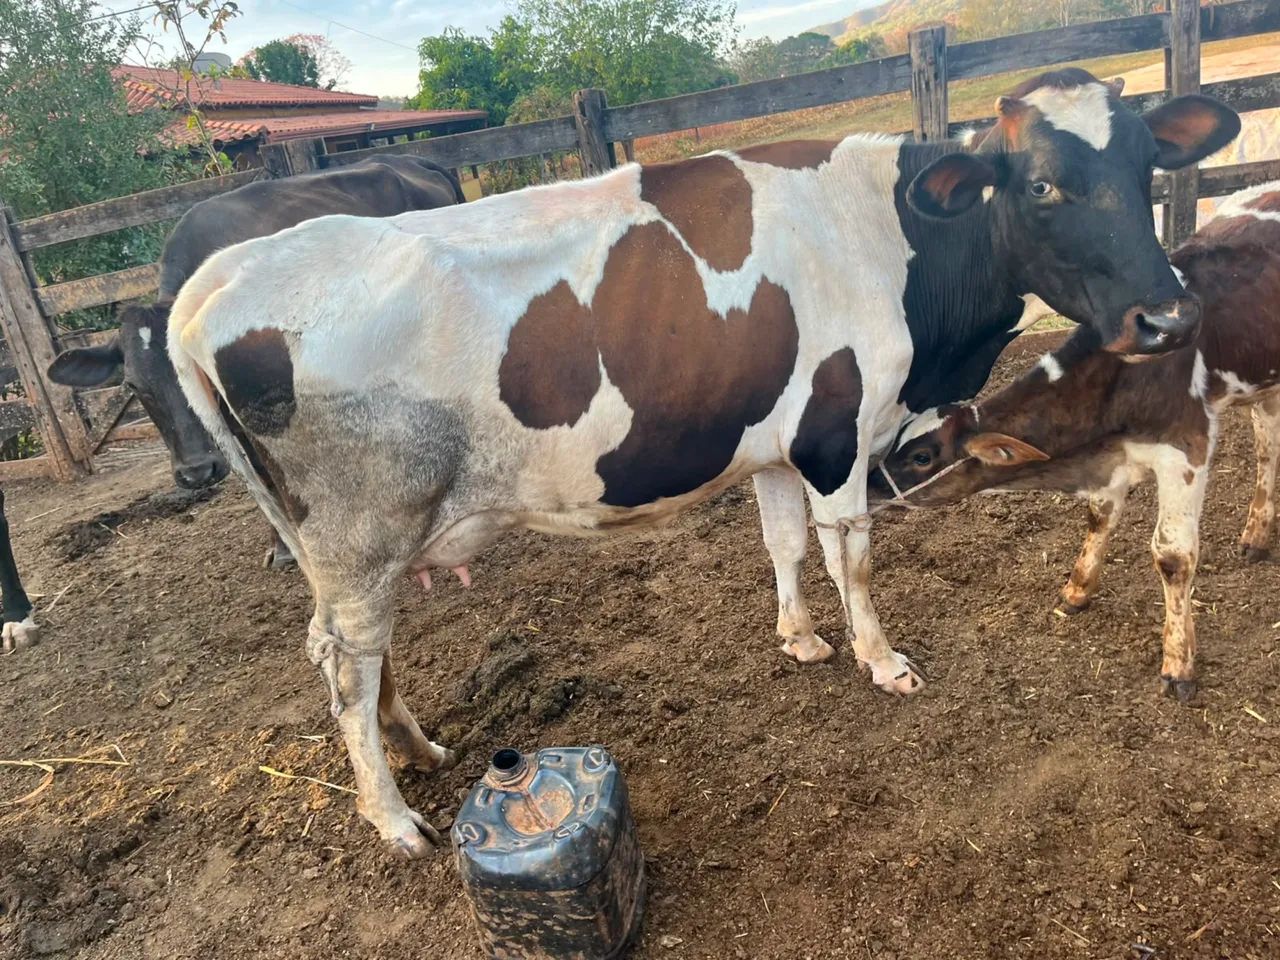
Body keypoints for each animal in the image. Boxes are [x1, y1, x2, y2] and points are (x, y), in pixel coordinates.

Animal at [168, 70, 1237, 858]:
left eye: (1147, 162)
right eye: (1043, 184)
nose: (1169, 316)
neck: (901, 252)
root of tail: (215, 282)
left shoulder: (777, 437)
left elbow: (783, 544)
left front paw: (800, 638)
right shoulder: (839, 430)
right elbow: (851, 551)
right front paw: (880, 659)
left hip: (350, 544)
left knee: (354, 650)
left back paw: (420, 746)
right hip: (362, 531)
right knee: (345, 664)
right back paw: (393, 818)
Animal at [873, 181, 1280, 702]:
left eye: (923, 456)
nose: (868, 483)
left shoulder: (1184, 447)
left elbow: (1172, 555)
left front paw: (1178, 664)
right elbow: (1098, 517)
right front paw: (1077, 590)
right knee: (1267, 446)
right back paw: (1256, 533)